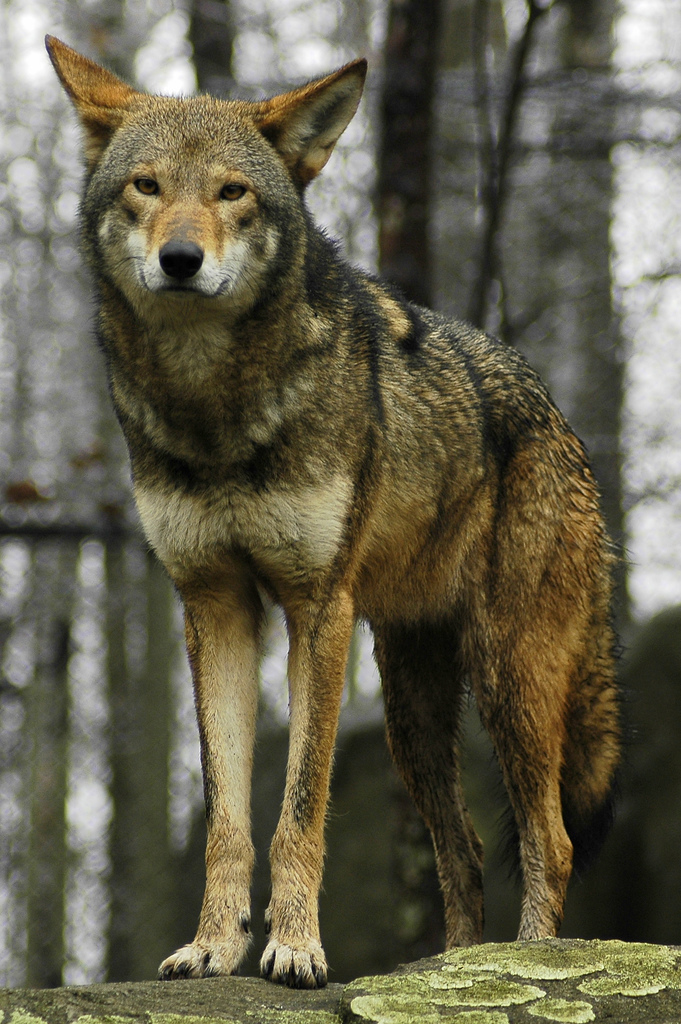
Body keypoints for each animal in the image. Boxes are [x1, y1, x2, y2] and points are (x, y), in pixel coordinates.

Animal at [46, 36, 621, 989]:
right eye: (147, 186)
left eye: (231, 193)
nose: (179, 259)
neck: (215, 408)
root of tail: (562, 421)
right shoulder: (214, 607)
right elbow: (227, 816)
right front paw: (212, 948)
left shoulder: (317, 609)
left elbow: (299, 806)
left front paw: (294, 949)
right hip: (408, 712)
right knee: (465, 850)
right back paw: (450, 973)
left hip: (508, 674)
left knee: (553, 840)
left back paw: (526, 964)